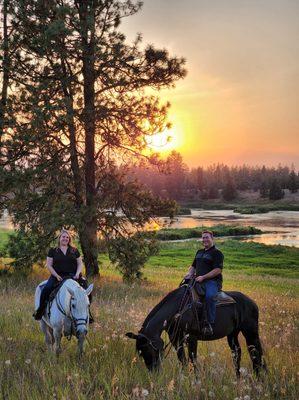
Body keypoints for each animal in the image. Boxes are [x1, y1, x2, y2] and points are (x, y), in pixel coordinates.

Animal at [126, 282, 268, 378]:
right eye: (140, 353)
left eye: (148, 350)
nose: (153, 373)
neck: (179, 309)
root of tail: (252, 302)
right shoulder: (176, 339)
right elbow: (182, 360)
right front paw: (184, 377)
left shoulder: (192, 338)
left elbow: (192, 359)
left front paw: (195, 380)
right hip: (232, 334)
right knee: (237, 353)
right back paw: (238, 378)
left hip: (250, 332)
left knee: (256, 352)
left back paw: (260, 377)